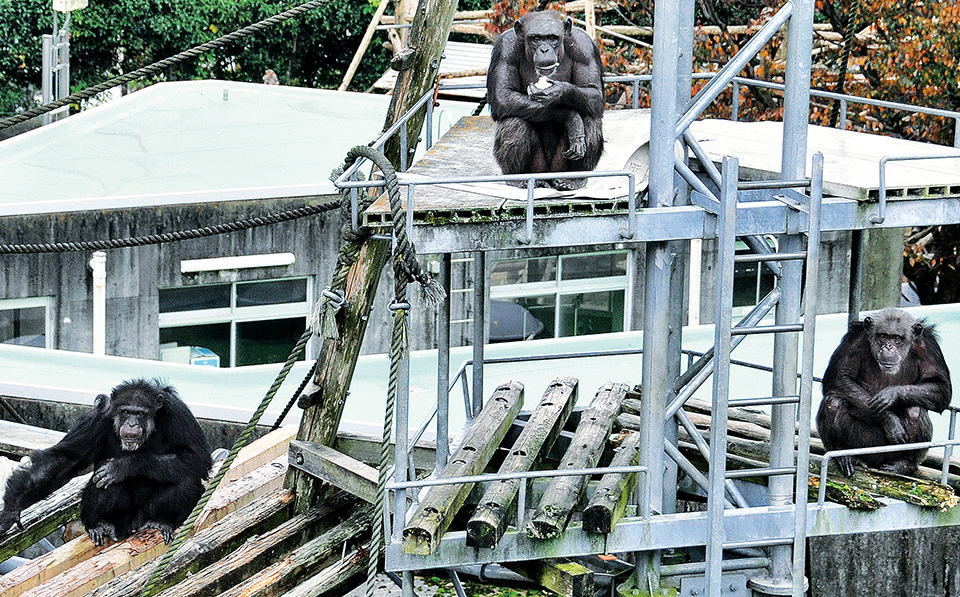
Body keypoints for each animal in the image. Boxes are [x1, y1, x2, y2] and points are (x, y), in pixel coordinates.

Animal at [0, 380, 212, 544]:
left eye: (140, 413)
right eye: (126, 411)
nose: (132, 423)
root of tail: (133, 527)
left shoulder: (178, 413)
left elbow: (197, 456)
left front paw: (124, 466)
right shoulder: (97, 417)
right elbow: (66, 459)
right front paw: (11, 510)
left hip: (145, 516)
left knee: (185, 479)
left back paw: (161, 521)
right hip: (118, 521)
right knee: (103, 483)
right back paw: (101, 524)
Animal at [484, 10, 604, 190]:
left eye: (552, 38)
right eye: (536, 38)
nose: (544, 49)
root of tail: (548, 176)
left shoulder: (585, 47)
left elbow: (594, 91)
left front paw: (560, 91)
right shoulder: (505, 48)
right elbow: (503, 95)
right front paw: (570, 117)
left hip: (559, 166)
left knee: (590, 116)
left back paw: (574, 179)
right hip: (537, 168)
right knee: (514, 121)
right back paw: (516, 178)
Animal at [816, 308, 952, 474]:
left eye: (897, 338)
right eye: (883, 336)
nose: (888, 347)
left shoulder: (928, 346)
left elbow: (941, 387)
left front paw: (892, 394)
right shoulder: (854, 340)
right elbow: (839, 377)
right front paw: (889, 419)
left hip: (889, 452)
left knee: (914, 410)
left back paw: (905, 464)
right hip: (861, 446)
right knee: (833, 402)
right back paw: (844, 455)